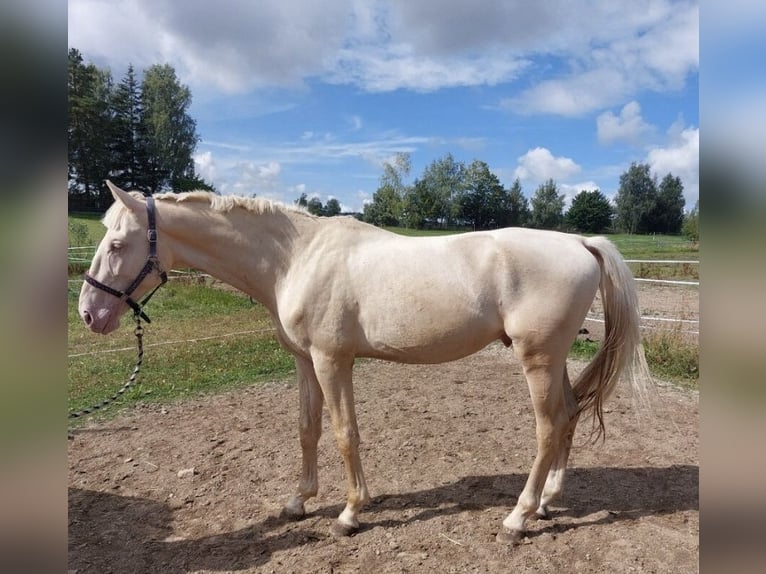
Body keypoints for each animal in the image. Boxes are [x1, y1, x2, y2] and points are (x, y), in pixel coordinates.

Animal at [78, 181, 649, 543]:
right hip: (554, 361)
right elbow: (307, 429)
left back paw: (518, 517)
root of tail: (580, 241)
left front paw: (351, 512)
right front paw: (299, 501)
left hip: (538, 360)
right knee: (570, 417)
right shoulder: (305, 363)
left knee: (549, 427)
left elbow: (343, 433)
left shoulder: (334, 361)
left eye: (118, 243)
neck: (296, 258)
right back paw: (550, 501)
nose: (89, 313)